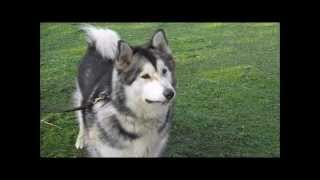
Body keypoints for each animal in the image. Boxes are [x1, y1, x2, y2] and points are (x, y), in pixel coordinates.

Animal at [73, 24, 176, 157]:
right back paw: (81, 139)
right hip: (82, 99)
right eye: (145, 76)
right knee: (81, 119)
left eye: (164, 71)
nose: (170, 93)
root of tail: (95, 46)